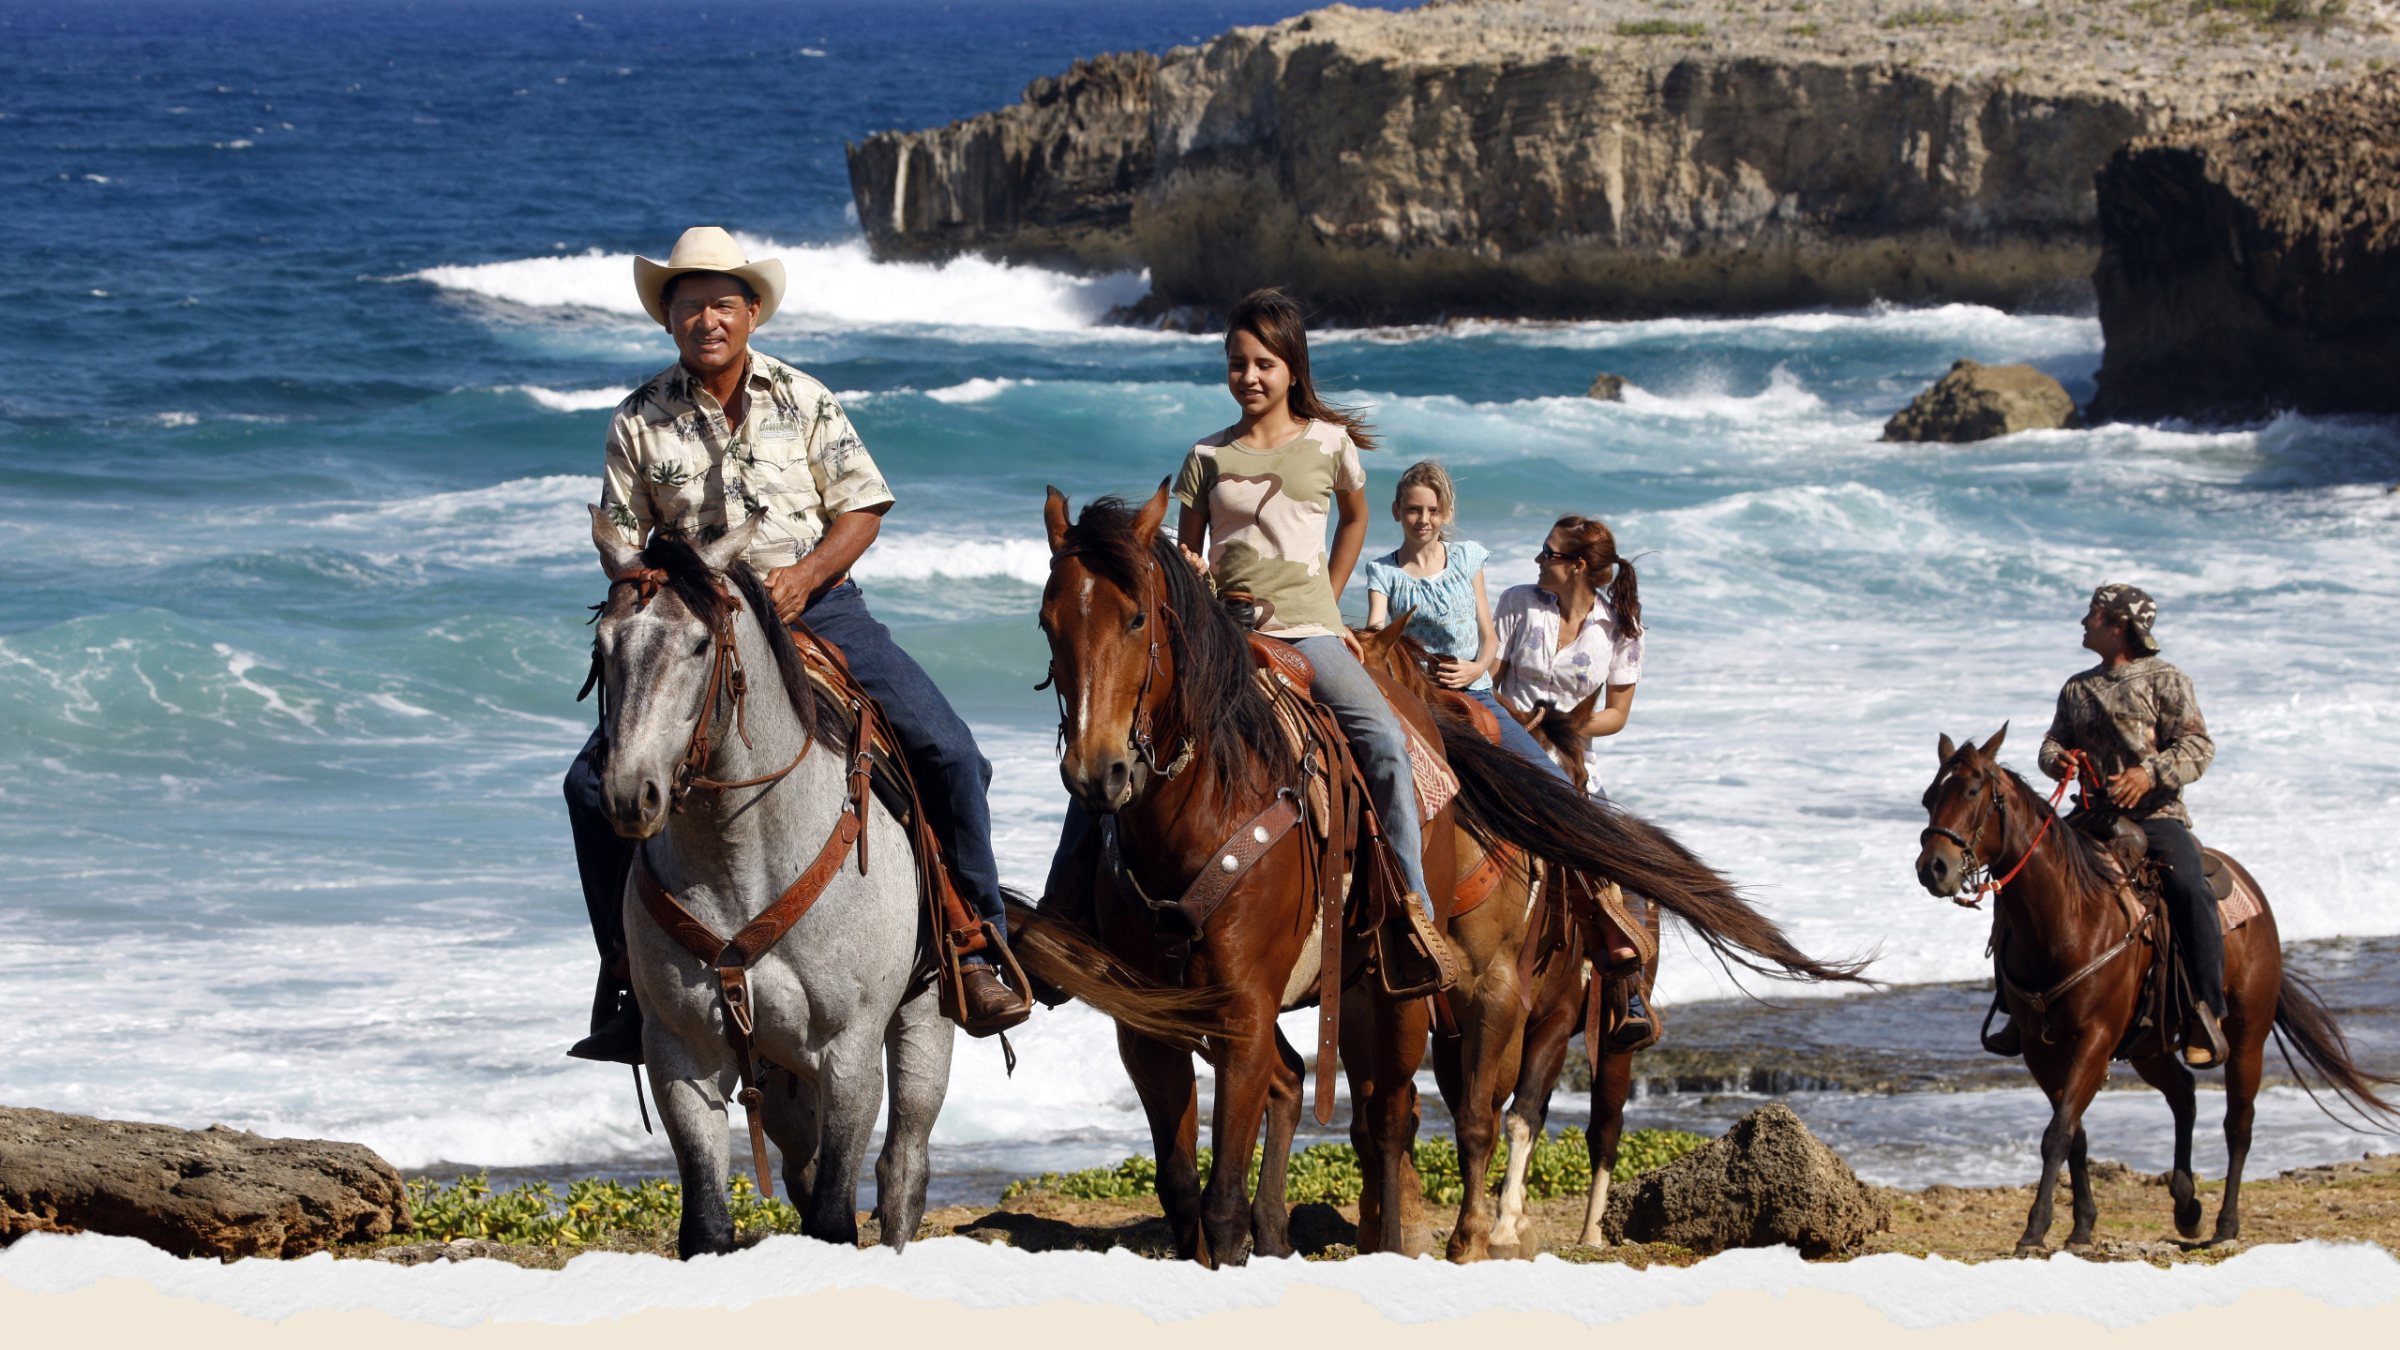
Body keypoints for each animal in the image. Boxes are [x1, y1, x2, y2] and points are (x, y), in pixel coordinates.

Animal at [586, 508, 950, 1258]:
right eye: (603, 647)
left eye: (701, 644)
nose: (630, 795)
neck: (741, 861)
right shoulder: (680, 1054)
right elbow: (706, 1224)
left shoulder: (849, 1053)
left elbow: (835, 1217)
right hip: (779, 1074)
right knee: (803, 1161)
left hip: (925, 1021)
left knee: (903, 1166)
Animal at [1017, 487, 1865, 1265]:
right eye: (1049, 623)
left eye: (1137, 619)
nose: (1098, 773)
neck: (1204, 809)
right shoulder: (1149, 1023)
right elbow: (1184, 1187)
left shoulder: (1276, 1007)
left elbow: (1471, 1121)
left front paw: (1473, 1235)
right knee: (1346, 1104)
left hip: (1520, 1013)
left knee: (1528, 1120)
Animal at [1914, 727, 2400, 1253]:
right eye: (1928, 798)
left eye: (1972, 791)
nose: (1933, 868)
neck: (2067, 917)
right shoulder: (2039, 1048)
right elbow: (2074, 1133)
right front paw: (2081, 1227)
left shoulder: (2095, 1039)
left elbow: (2058, 1132)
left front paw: (2035, 1229)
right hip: (2150, 1043)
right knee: (2183, 1092)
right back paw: (2186, 1207)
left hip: (2247, 1035)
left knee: (2238, 1123)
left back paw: (2225, 1225)